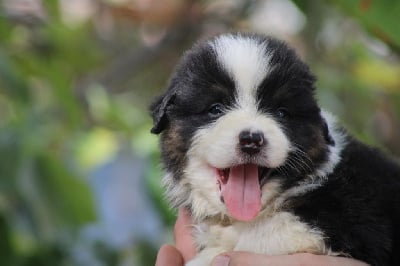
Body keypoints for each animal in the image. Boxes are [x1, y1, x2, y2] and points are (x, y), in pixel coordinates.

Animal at [149, 33, 400, 266]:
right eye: (215, 109)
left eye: (281, 113)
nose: (251, 140)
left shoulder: (356, 218)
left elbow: (266, 231)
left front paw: (209, 255)